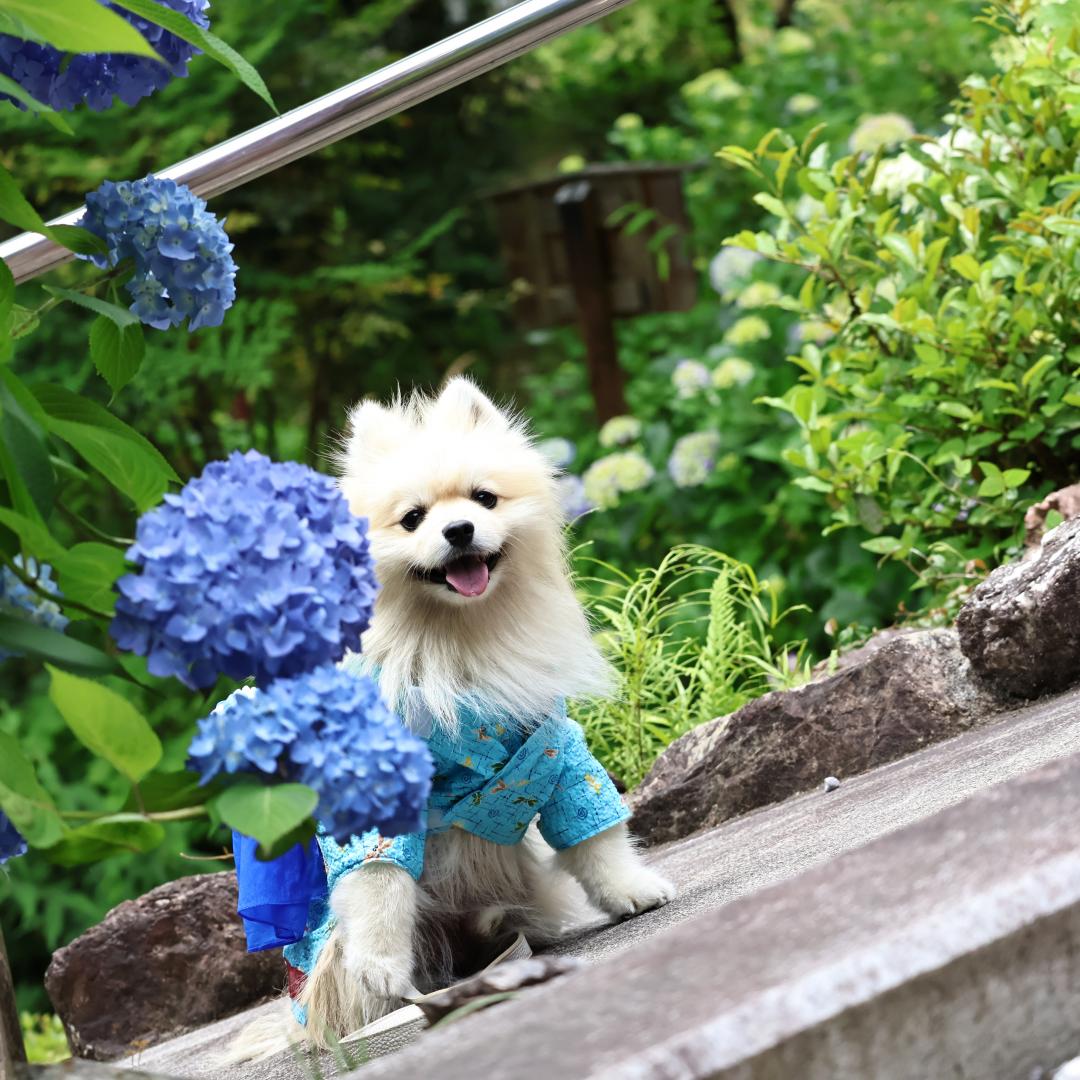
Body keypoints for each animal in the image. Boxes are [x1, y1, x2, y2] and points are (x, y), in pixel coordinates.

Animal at [232, 378, 673, 1054]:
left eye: (483, 498)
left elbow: (596, 835)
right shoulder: (375, 784)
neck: (456, 641)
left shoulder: (554, 746)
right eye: (413, 518)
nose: (460, 529)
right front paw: (384, 964)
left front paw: (631, 890)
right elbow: (380, 884)